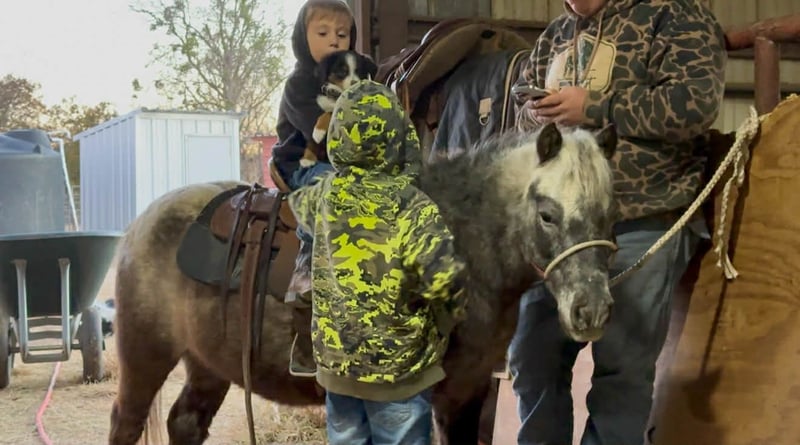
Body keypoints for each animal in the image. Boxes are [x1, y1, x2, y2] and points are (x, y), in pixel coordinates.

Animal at [108, 122, 619, 445]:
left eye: (610, 213)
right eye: (548, 214)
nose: (591, 310)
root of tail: (141, 223)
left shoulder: (469, 390)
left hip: (208, 363)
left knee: (185, 424)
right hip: (146, 355)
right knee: (126, 422)